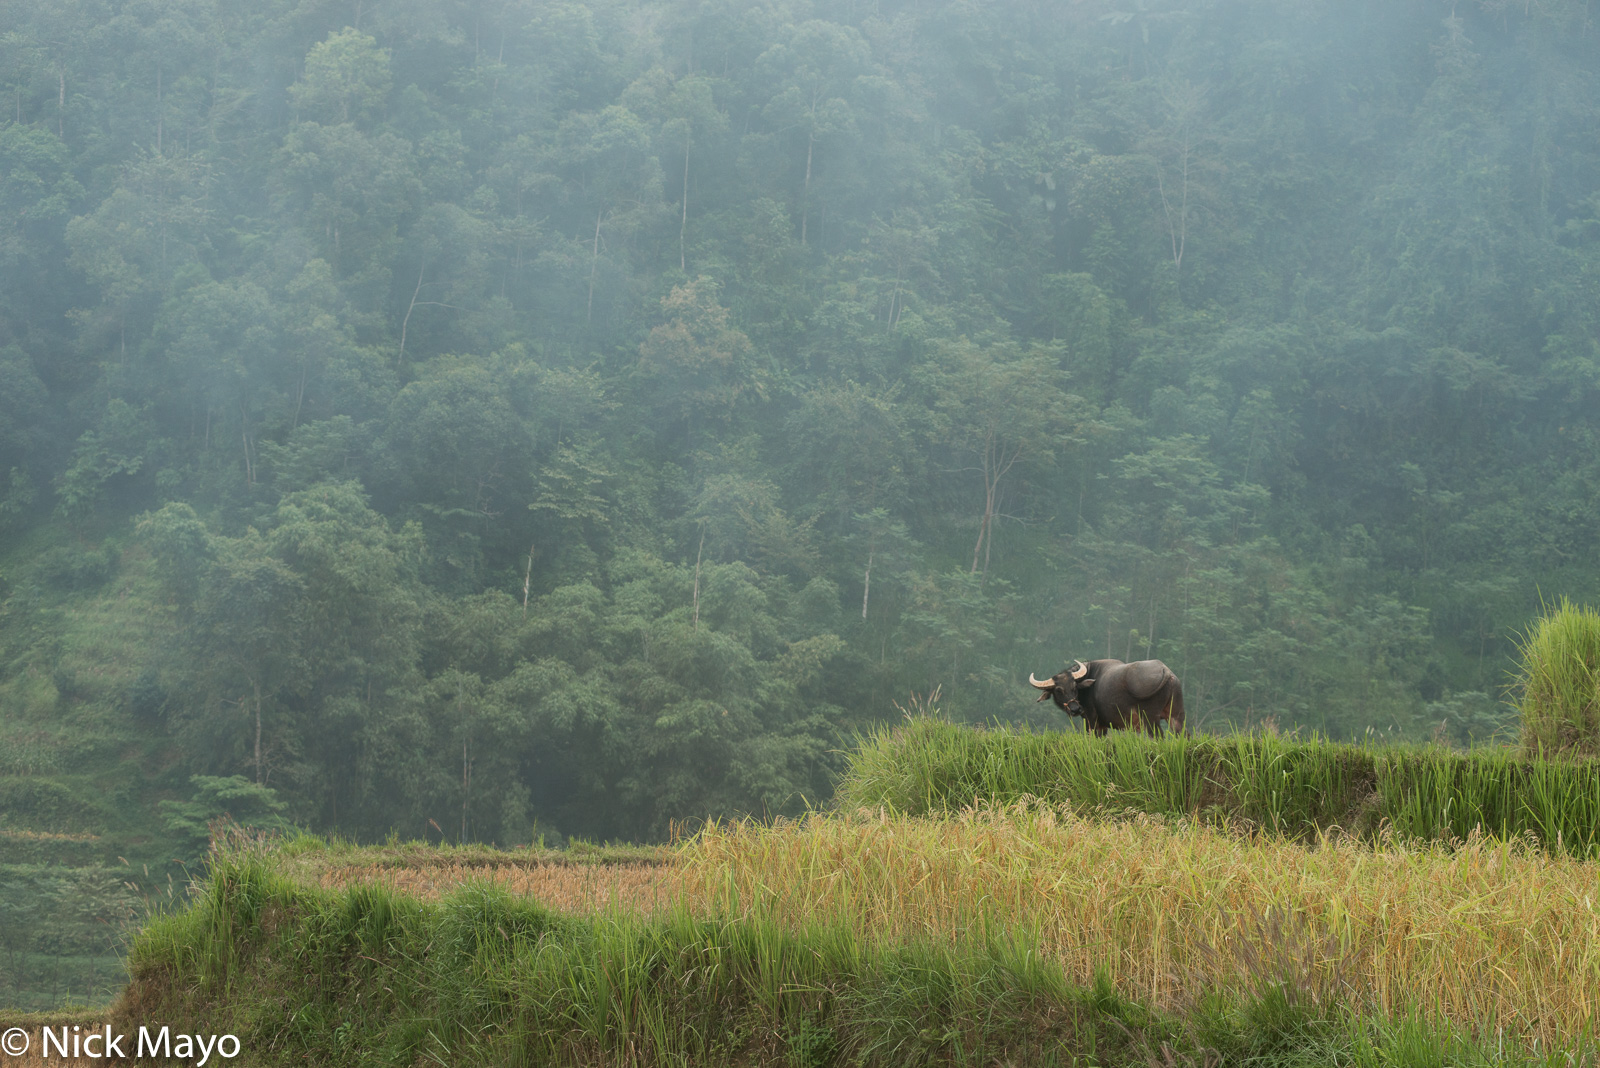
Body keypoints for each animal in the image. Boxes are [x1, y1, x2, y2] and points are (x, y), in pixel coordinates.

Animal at [1030, 655, 1184, 738]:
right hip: (1176, 715)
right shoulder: (1103, 726)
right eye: (1058, 690)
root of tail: (1165, 670)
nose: (1075, 709)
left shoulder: (1091, 720)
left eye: (1074, 687)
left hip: (1150, 719)